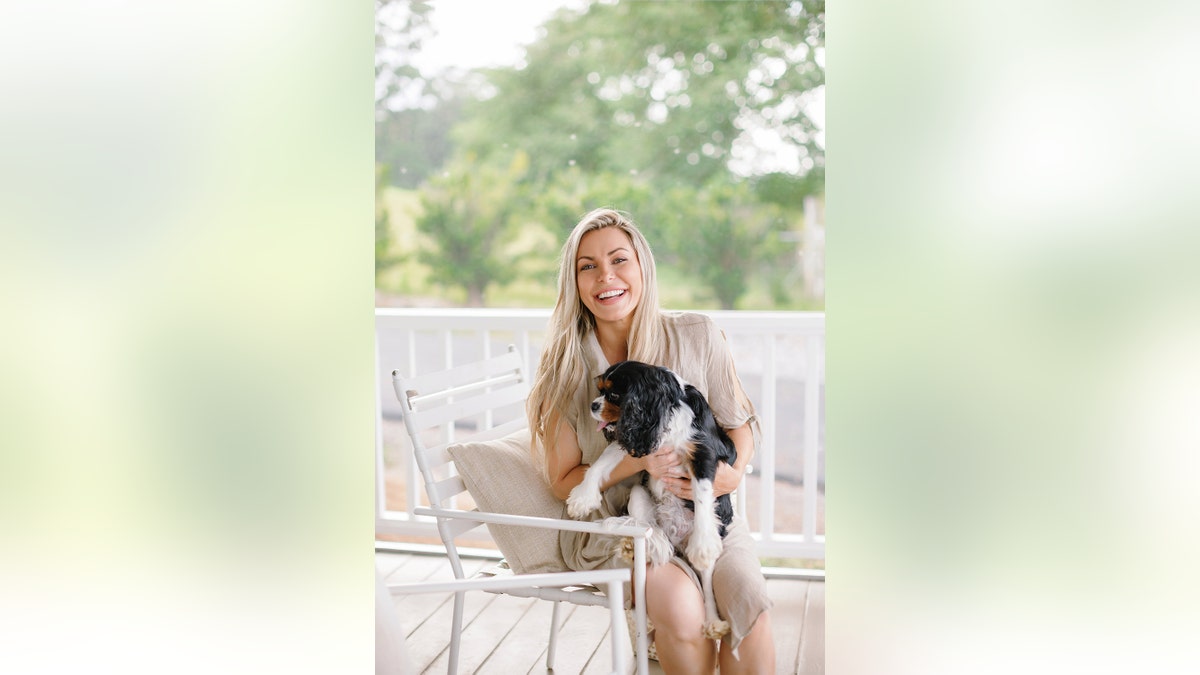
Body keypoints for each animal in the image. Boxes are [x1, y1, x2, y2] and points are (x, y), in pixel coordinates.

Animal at [564, 357, 739, 634]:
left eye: (614, 395)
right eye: (600, 390)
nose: (593, 405)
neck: (665, 409)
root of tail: (675, 539)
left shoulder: (703, 453)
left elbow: (702, 496)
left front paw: (702, 545)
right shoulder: (638, 439)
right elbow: (599, 464)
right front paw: (583, 498)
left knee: (707, 581)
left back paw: (712, 621)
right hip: (639, 495)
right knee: (652, 531)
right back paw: (639, 545)